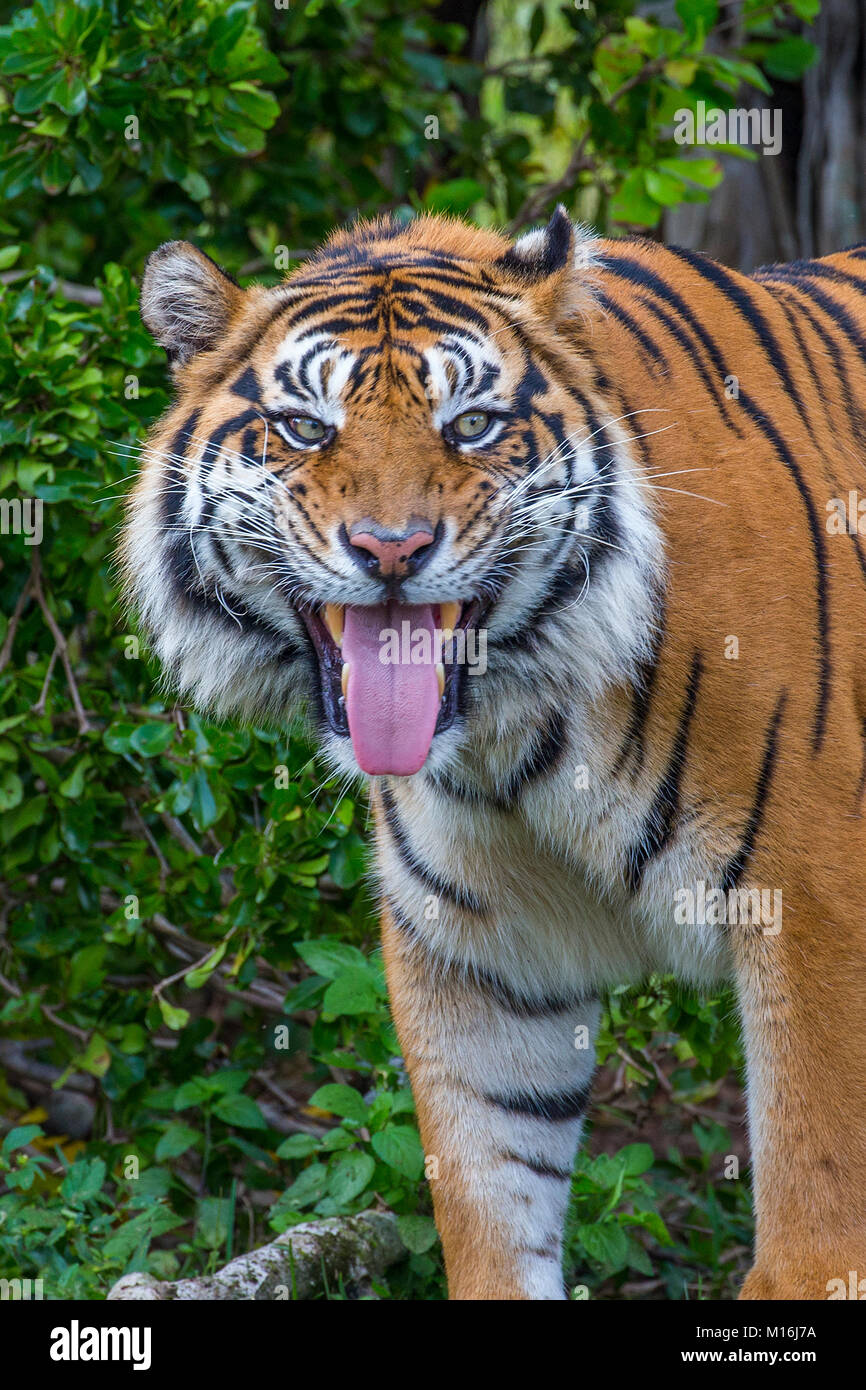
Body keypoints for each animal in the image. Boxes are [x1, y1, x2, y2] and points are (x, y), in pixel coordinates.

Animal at [120, 206, 866, 1301]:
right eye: (306, 427)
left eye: (468, 425)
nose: (391, 549)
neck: (521, 730)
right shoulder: (479, 959)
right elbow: (490, 1210)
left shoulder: (815, 905)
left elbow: (815, 1219)